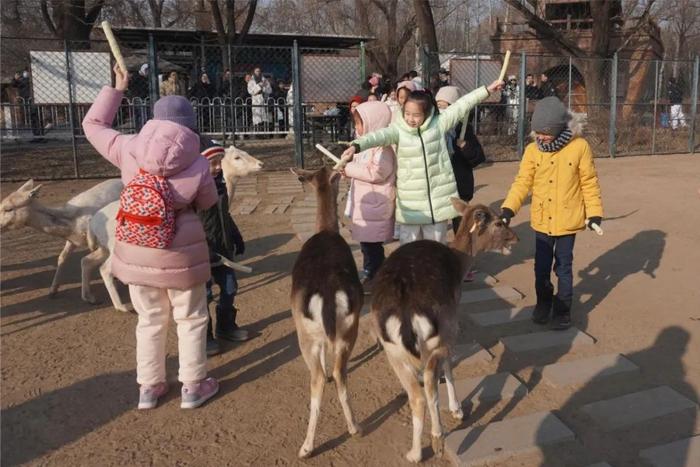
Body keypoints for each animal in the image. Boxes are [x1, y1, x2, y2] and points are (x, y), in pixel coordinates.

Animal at [292, 166, 366, 458]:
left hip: (306, 335)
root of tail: (327, 291)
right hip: (348, 327)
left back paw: (306, 447)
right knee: (338, 371)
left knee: (319, 379)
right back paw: (354, 428)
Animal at [372, 198, 520, 464]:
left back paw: (414, 453)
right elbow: (449, 366)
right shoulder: (453, 324)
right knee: (430, 384)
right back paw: (436, 441)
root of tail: (405, 308)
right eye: (499, 222)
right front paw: (457, 409)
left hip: (391, 350)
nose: (515, 238)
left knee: (416, 394)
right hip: (439, 334)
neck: (459, 261)